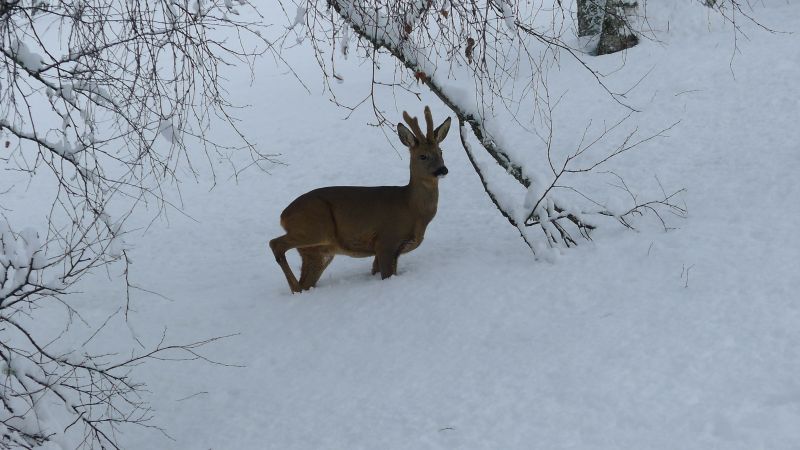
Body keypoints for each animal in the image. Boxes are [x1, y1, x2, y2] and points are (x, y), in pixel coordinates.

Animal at [270, 107, 450, 294]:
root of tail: (283, 216)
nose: (443, 169)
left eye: (441, 152)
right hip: (314, 227)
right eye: (423, 156)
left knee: (306, 279)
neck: (412, 209)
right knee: (275, 243)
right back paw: (294, 288)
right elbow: (386, 274)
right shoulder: (386, 240)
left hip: (317, 252)